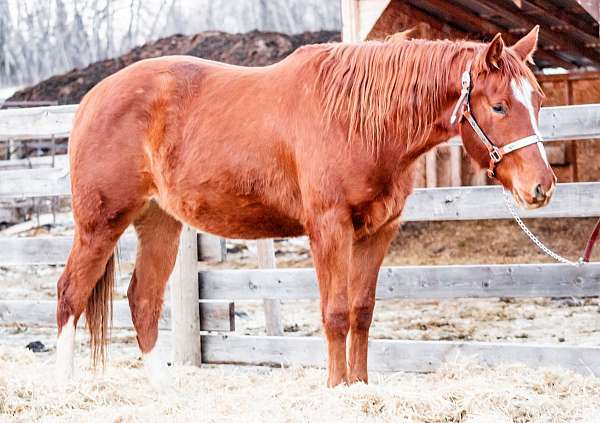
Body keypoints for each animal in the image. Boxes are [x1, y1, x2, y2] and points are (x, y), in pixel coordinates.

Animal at [55, 27, 552, 388]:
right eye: (499, 106)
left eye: (539, 101)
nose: (542, 187)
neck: (357, 120)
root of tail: (92, 99)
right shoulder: (329, 229)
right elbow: (335, 313)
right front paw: (336, 388)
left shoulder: (378, 232)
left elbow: (361, 312)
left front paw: (360, 385)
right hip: (100, 223)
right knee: (70, 293)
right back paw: (65, 386)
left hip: (160, 223)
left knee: (143, 300)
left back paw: (163, 390)